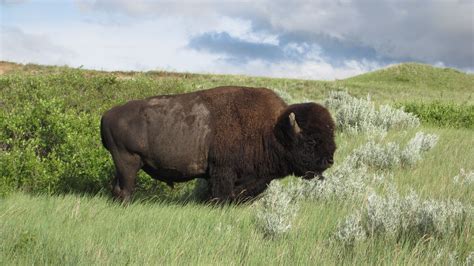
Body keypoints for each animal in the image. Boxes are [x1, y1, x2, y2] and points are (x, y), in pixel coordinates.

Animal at [101, 87, 336, 202]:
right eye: (312, 140)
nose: (329, 160)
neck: (272, 129)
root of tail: (107, 115)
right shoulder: (222, 171)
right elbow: (221, 195)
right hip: (128, 162)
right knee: (125, 190)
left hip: (123, 164)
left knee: (116, 187)